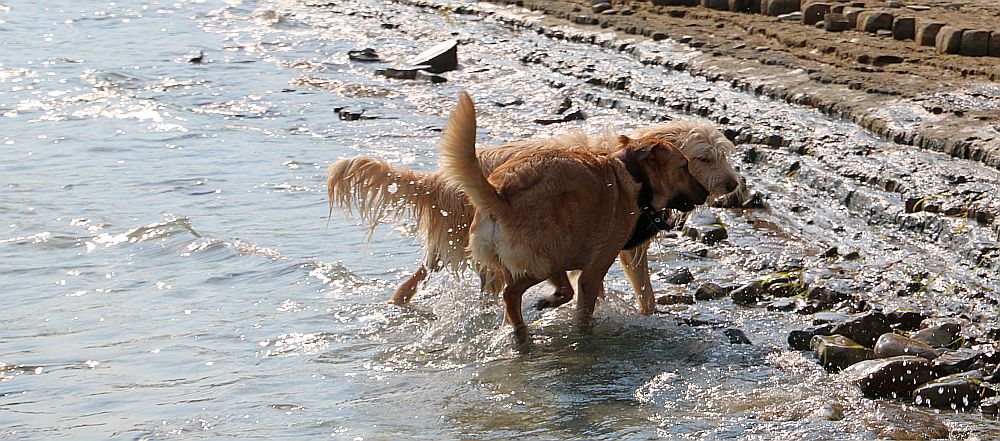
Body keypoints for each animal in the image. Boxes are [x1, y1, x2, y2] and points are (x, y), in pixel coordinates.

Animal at [328, 105, 744, 312]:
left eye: (722, 154)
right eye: (702, 158)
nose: (733, 184)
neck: (633, 168)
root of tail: (444, 179)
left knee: (423, 274)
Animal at [440, 91, 712, 342]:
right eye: (685, 167)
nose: (706, 192)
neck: (633, 176)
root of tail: (500, 194)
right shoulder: (593, 271)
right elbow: (583, 311)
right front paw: (583, 335)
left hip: (536, 260)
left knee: (521, 296)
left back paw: (524, 326)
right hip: (547, 258)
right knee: (513, 293)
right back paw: (531, 323)